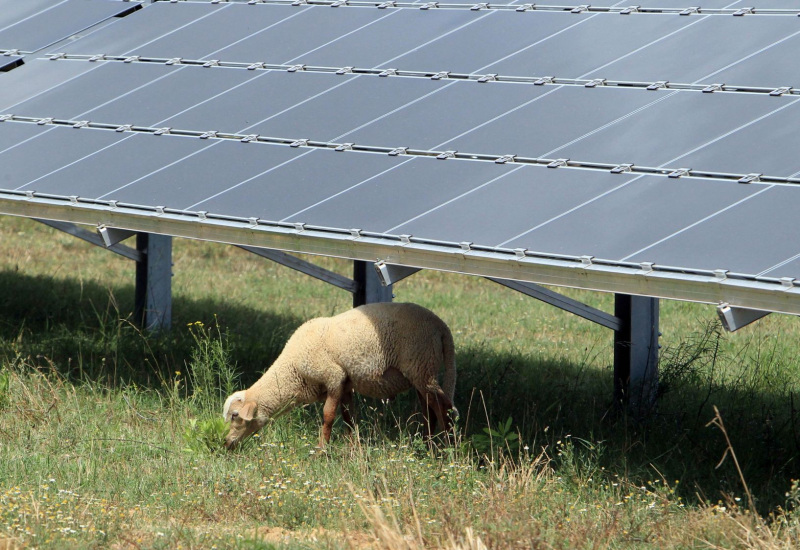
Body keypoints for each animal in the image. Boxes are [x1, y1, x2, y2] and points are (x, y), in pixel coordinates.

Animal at [222, 304, 456, 450]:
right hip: (421, 372)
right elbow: (349, 418)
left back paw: (447, 449)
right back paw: (426, 445)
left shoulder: (334, 377)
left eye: (235, 415)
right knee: (429, 410)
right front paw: (353, 448)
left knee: (443, 407)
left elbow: (328, 415)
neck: (293, 370)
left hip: (421, 365)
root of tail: (441, 326)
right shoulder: (346, 384)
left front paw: (321, 449)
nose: (225, 443)